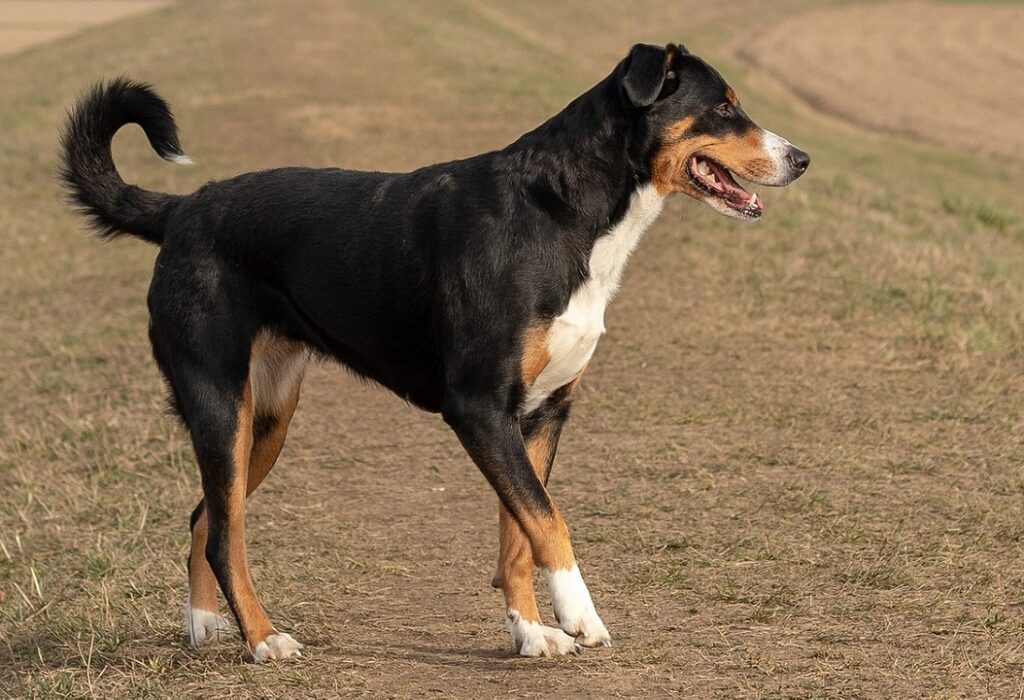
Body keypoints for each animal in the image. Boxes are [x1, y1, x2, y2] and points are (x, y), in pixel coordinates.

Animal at [61, 43, 806, 663]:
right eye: (723, 107)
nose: (802, 158)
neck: (563, 214)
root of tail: (183, 210)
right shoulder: (478, 408)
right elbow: (549, 523)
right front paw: (579, 616)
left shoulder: (538, 416)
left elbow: (518, 535)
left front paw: (531, 633)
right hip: (220, 402)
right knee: (223, 533)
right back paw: (265, 639)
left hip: (266, 418)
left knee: (206, 518)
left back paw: (204, 626)